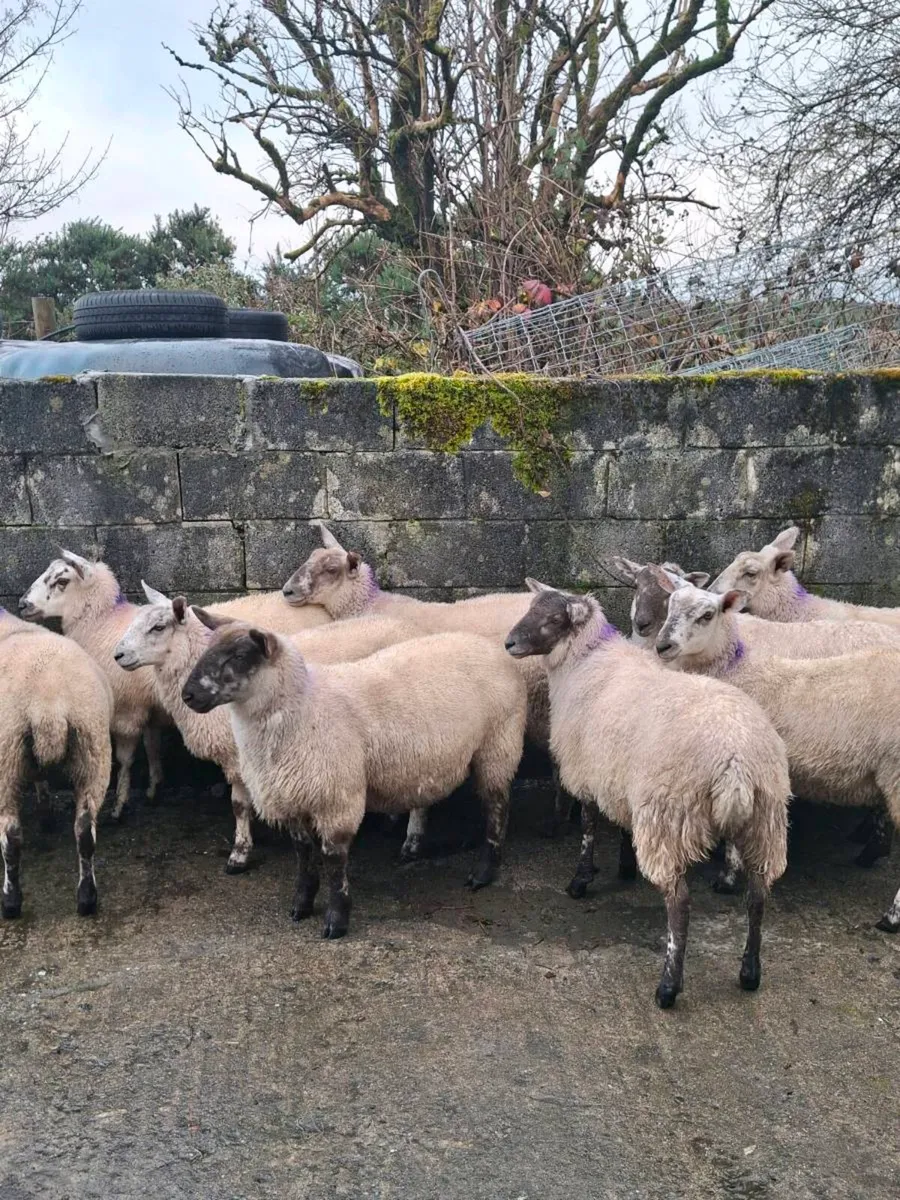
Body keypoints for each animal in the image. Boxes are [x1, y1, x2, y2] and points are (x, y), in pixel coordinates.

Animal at [0, 608, 112, 918]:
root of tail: (47, 707)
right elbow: (40, 775)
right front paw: (46, 813)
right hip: (93, 749)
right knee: (85, 832)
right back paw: (87, 898)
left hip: (6, 757)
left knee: (10, 838)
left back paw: (10, 901)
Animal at [114, 586, 429, 871]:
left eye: (158, 627)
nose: (118, 655)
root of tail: (411, 628)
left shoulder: (240, 757)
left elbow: (238, 805)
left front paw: (240, 852)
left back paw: (411, 842)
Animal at [180, 620, 527, 940]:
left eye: (239, 655)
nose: (188, 695)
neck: (304, 707)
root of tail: (492, 647)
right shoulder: (291, 796)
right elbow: (303, 854)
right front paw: (301, 904)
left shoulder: (336, 797)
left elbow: (334, 860)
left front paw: (337, 919)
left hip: (499, 743)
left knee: (498, 806)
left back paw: (483, 872)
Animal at [504, 581, 790, 1009]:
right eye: (530, 607)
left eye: (553, 618)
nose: (509, 642)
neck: (586, 660)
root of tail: (735, 761)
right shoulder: (620, 779)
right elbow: (622, 826)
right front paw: (624, 866)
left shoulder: (587, 772)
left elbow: (588, 827)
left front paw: (581, 880)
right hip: (764, 820)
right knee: (757, 897)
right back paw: (750, 973)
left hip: (669, 815)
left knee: (680, 903)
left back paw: (669, 986)